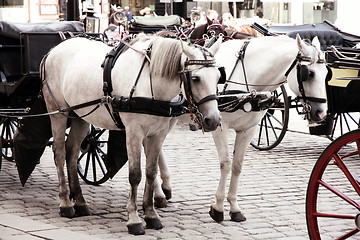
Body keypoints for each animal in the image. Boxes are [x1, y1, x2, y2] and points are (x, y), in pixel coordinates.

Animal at [40, 34, 222, 235]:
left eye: (219, 77)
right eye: (196, 78)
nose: (213, 120)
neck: (151, 84)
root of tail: (55, 49)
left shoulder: (157, 135)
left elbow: (151, 173)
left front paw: (151, 214)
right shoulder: (134, 132)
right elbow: (135, 175)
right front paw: (134, 219)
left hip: (81, 115)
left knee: (71, 152)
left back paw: (80, 202)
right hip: (57, 112)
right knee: (59, 152)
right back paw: (65, 202)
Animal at [154, 33, 330, 221]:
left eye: (327, 73)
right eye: (309, 73)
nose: (321, 113)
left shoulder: (248, 129)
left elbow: (237, 166)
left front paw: (234, 207)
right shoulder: (219, 125)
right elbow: (225, 163)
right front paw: (218, 207)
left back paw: (165, 187)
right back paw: (158, 193)